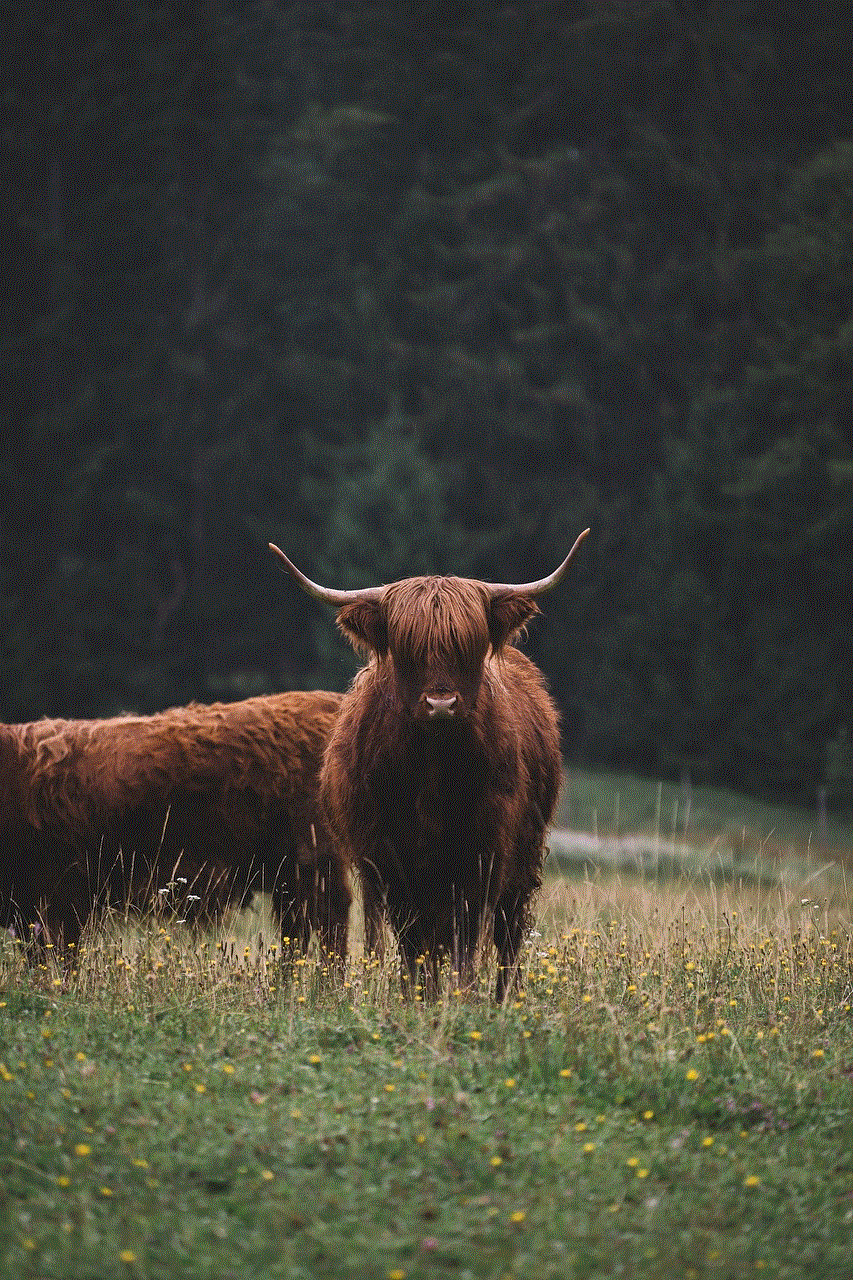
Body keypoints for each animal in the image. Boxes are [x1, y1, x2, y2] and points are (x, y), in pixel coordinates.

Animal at [0, 691, 348, 962]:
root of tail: (326, 703)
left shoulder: (59, 895)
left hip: (311, 863)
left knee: (328, 927)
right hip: (287, 874)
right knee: (298, 934)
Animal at [268, 529, 589, 998]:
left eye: (468, 646)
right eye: (408, 649)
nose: (441, 703)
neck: (433, 770)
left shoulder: (484, 851)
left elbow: (466, 932)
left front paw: (461, 995)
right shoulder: (389, 856)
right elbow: (412, 938)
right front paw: (418, 996)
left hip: (525, 852)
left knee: (508, 930)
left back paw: (502, 998)